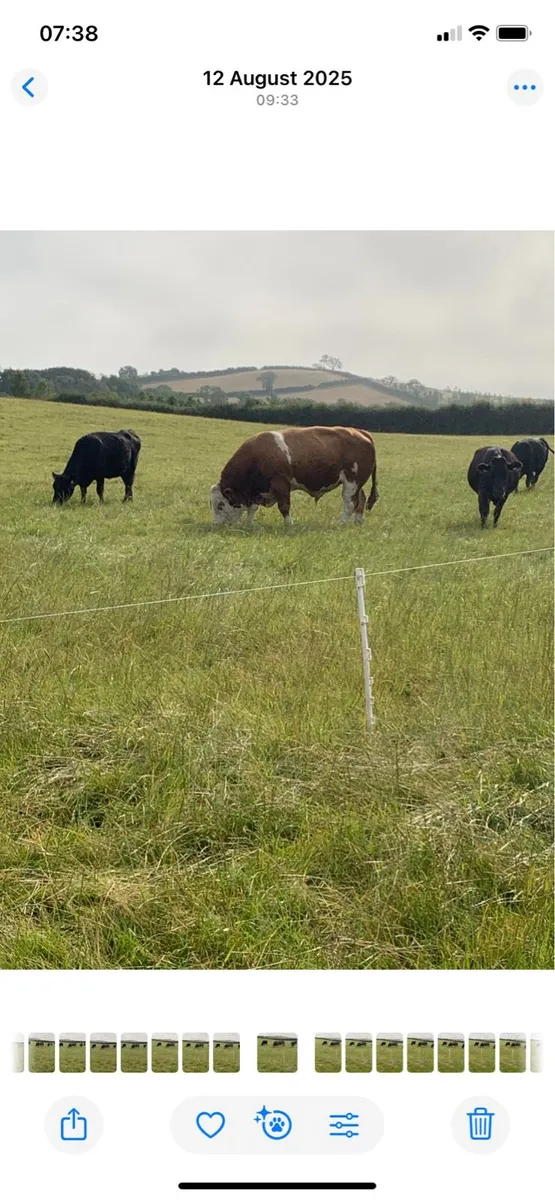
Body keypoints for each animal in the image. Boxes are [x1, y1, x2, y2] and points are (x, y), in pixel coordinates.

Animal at [210, 426, 378, 527]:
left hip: (352, 482)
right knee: (360, 500)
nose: (216, 524)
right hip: (357, 484)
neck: (257, 456)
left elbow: (284, 506)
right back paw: (358, 522)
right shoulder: (258, 491)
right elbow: (253, 508)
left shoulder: (280, 484)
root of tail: (362, 432)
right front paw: (249, 524)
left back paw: (341, 523)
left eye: (220, 504)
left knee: (350, 503)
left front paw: (289, 525)